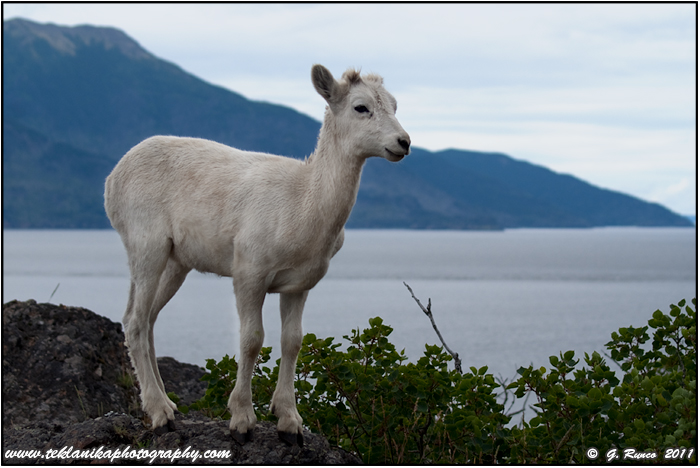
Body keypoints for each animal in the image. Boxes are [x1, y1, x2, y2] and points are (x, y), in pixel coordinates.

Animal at [104, 64, 411, 446]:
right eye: (361, 107)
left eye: (395, 105)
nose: (403, 142)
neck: (303, 204)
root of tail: (112, 178)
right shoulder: (249, 272)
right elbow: (251, 340)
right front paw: (242, 421)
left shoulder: (298, 284)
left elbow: (292, 342)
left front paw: (290, 422)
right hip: (147, 245)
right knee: (134, 321)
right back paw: (160, 415)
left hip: (176, 263)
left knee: (147, 319)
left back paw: (168, 404)